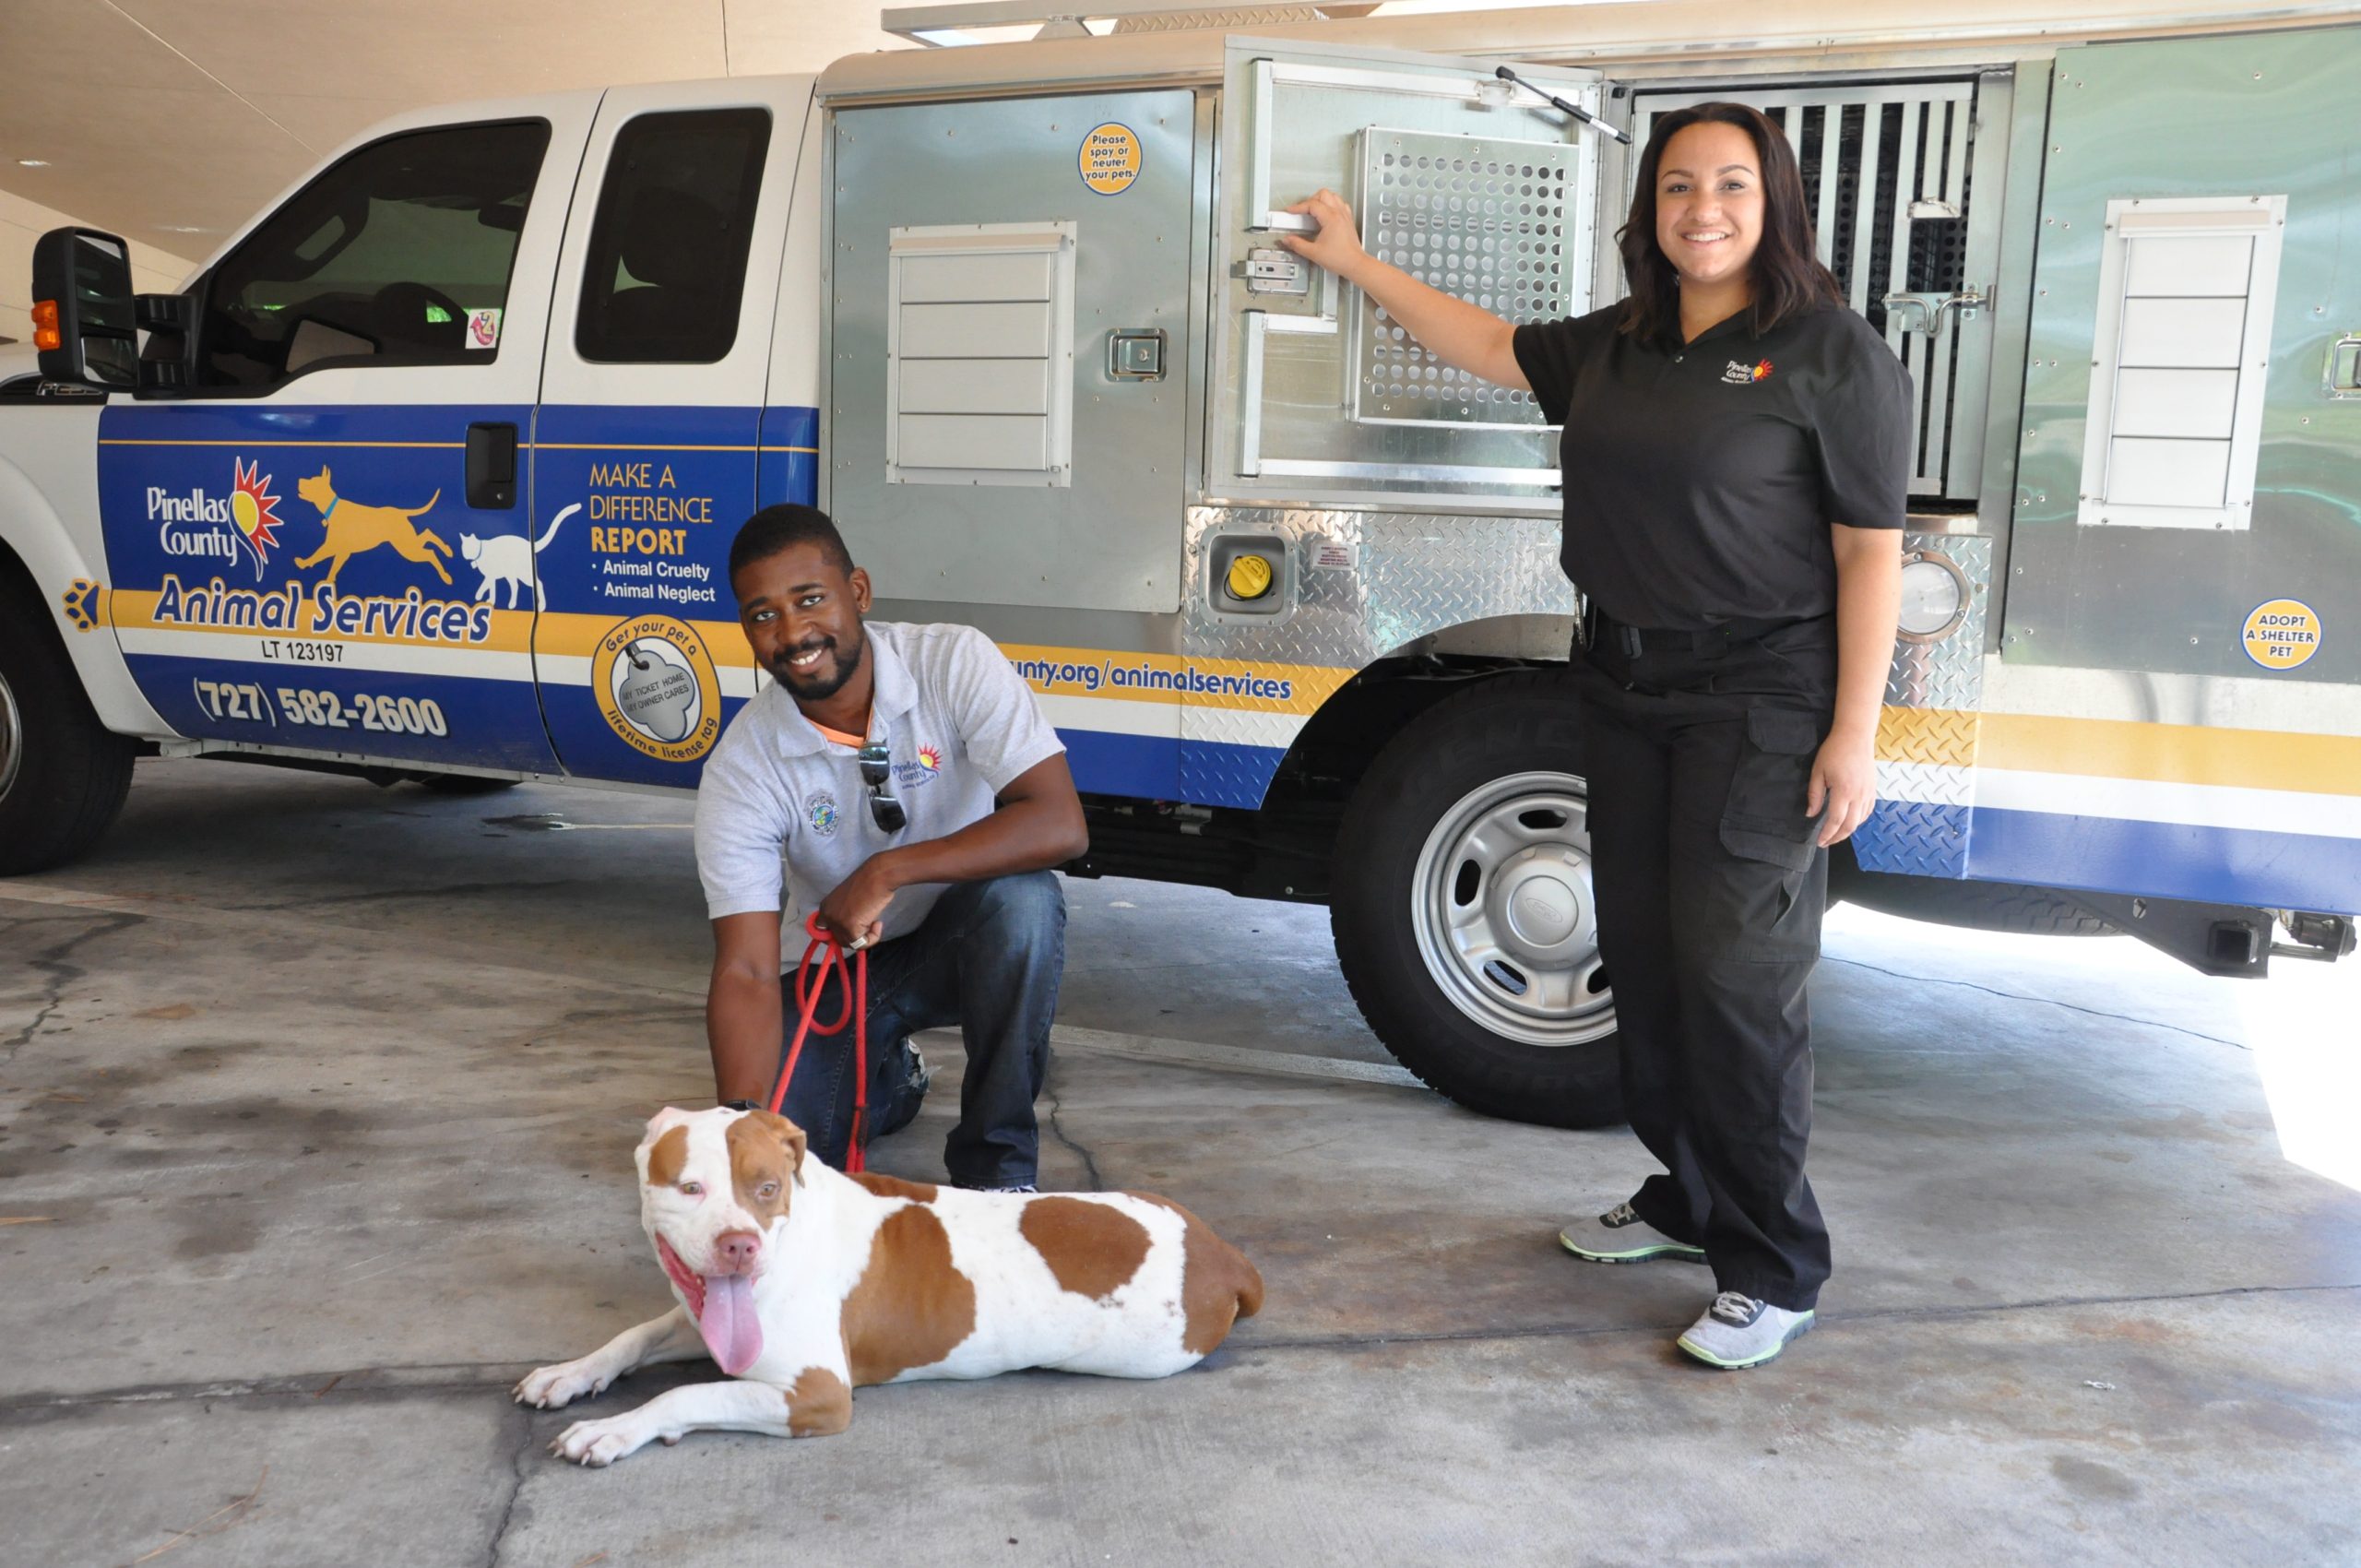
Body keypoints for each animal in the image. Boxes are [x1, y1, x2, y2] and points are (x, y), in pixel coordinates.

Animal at [509, 1110, 1265, 1464]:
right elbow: (632, 1336)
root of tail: (1222, 1252)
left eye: (766, 1188)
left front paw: (615, 1428)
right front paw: (569, 1373)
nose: (739, 1245)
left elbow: (686, 1393)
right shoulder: (706, 1320)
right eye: (690, 1187)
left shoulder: (818, 1395)